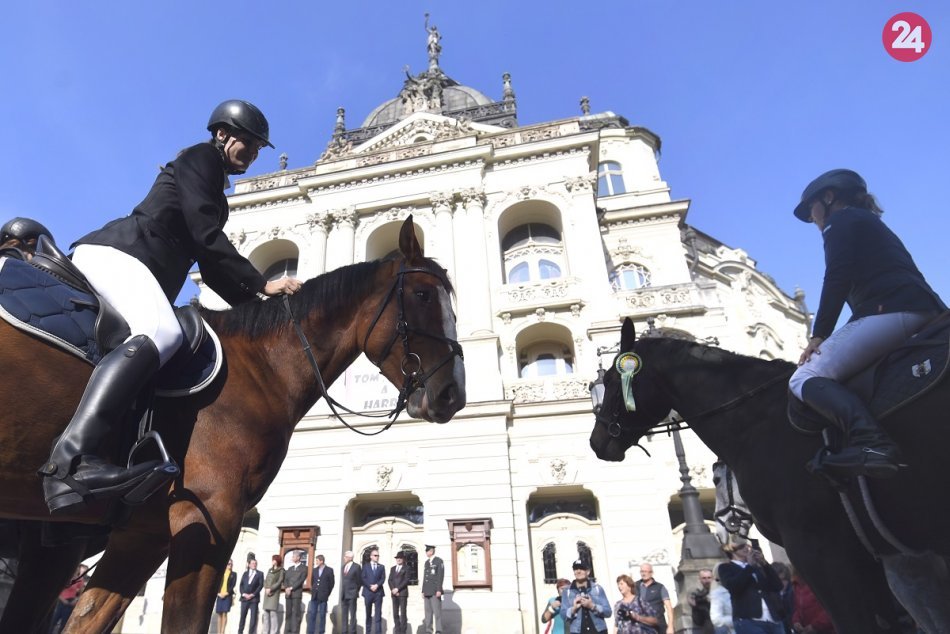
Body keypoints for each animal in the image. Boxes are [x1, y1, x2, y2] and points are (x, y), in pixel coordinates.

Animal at [0, 217, 464, 632]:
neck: (258, 367)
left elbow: (87, 617)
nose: (453, 394)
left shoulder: (140, 534)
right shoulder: (207, 519)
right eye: (422, 294)